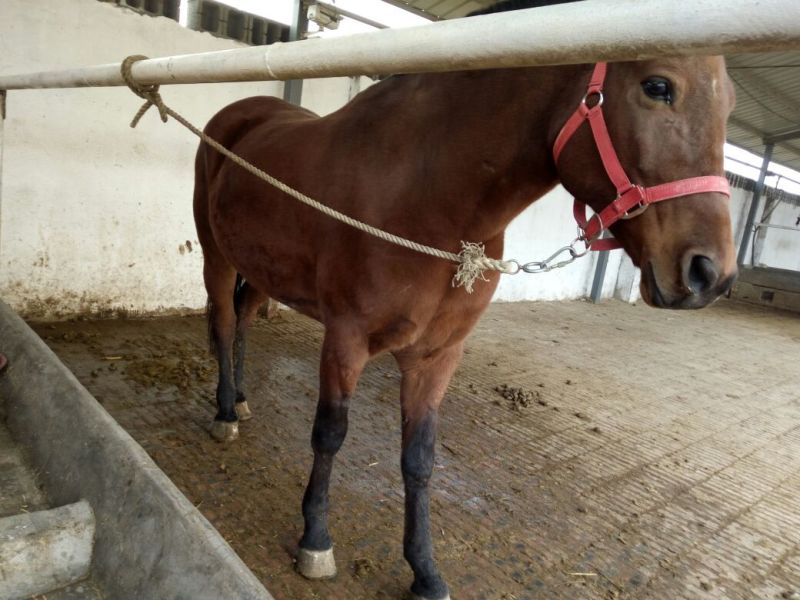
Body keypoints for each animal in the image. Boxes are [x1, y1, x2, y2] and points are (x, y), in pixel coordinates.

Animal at [192, 1, 737, 597]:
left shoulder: (436, 356)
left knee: (244, 321)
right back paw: (225, 412)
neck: (427, 197)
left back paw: (241, 397)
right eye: (658, 85)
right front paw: (315, 539)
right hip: (217, 256)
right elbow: (330, 434)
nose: (710, 273)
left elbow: (419, 459)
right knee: (224, 323)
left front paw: (425, 570)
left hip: (261, 269)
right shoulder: (345, 339)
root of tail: (240, 114)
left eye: (729, 103)